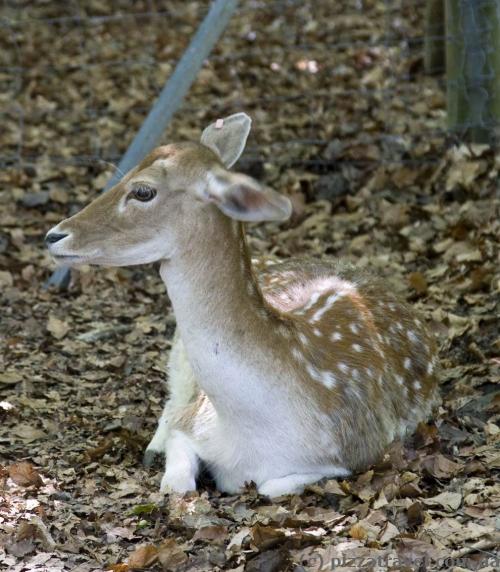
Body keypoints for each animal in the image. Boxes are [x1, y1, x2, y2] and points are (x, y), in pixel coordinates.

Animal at [46, 114, 438, 498]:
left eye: (143, 190)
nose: (54, 234)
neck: (249, 431)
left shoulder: (354, 452)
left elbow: (270, 488)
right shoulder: (193, 422)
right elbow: (176, 482)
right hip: (178, 352)